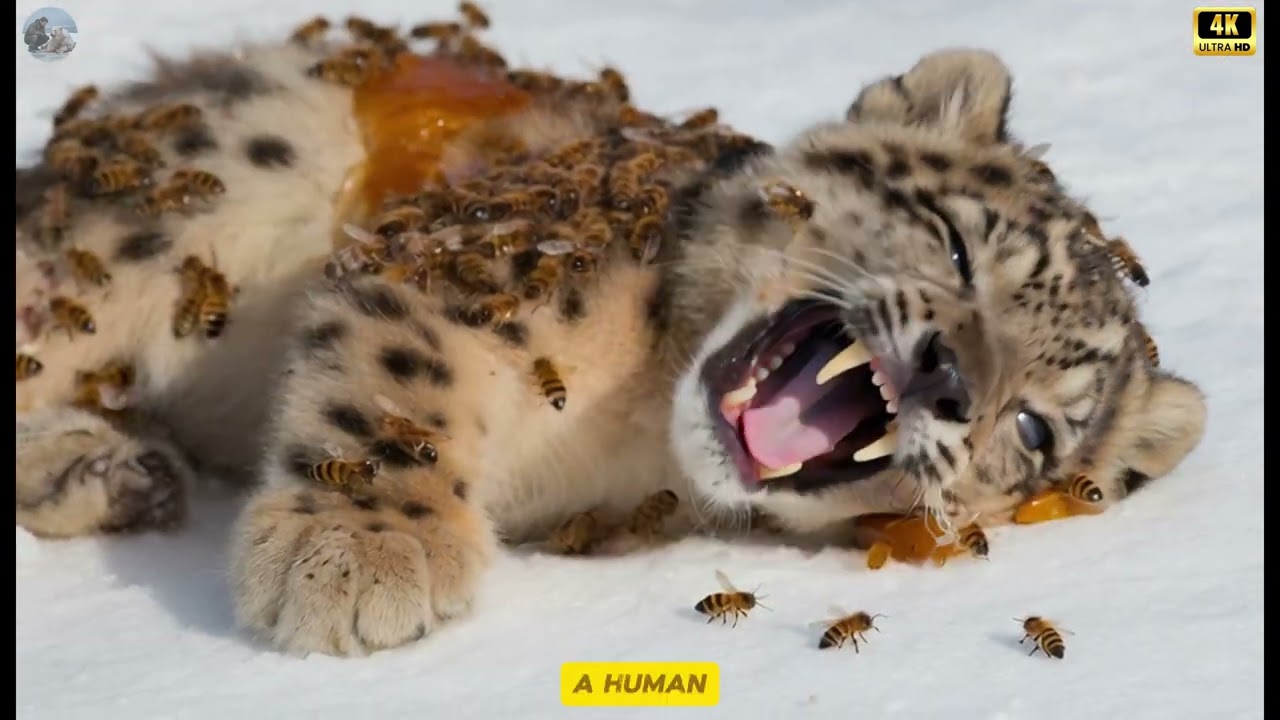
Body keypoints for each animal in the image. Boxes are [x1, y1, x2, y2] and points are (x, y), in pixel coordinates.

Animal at [14, 18, 1206, 658]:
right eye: (957, 245)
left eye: (1037, 432)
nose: (954, 378)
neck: (626, 430)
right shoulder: (460, 265)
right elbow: (396, 387)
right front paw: (359, 551)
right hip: (202, 194)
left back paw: (103, 472)